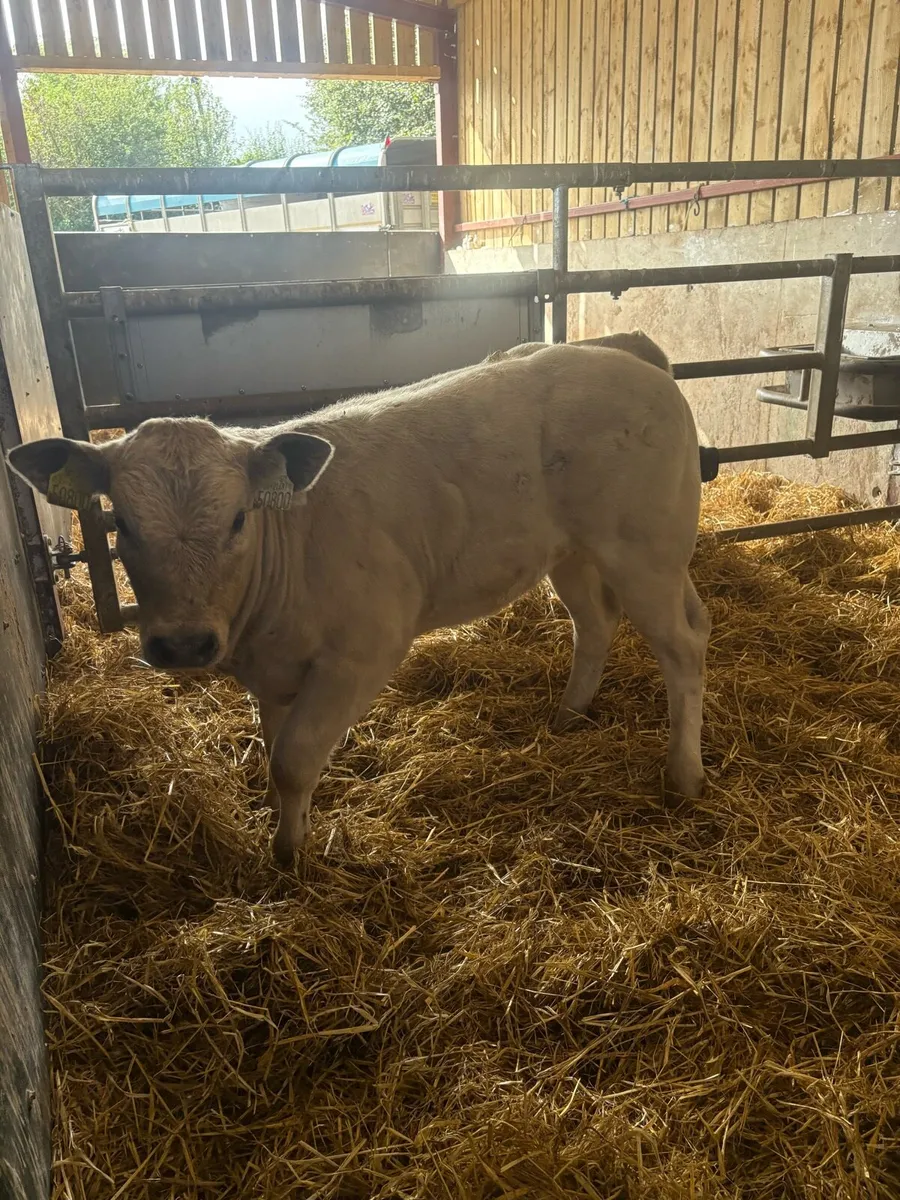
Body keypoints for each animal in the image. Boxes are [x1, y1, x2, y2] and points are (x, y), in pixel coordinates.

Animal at [8, 344, 711, 867]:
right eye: (121, 522)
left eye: (238, 519)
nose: (182, 644)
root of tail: (638, 364)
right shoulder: (272, 670)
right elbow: (274, 750)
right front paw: (285, 826)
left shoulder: (364, 650)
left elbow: (294, 759)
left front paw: (289, 856)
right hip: (577, 553)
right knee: (599, 623)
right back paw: (568, 717)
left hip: (644, 550)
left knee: (683, 649)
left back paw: (684, 775)